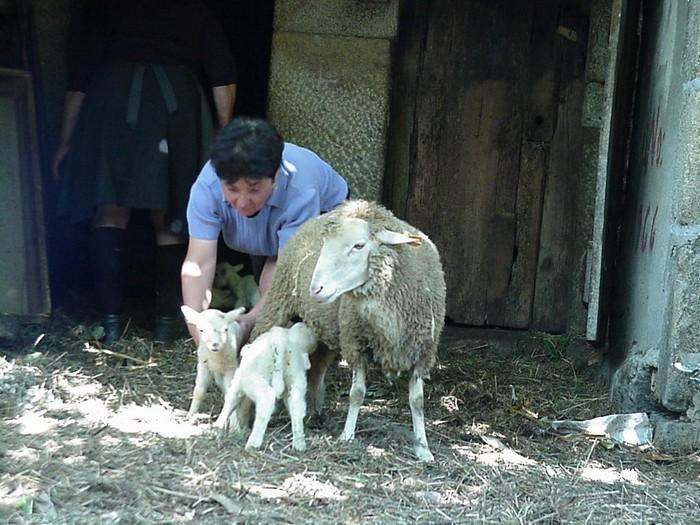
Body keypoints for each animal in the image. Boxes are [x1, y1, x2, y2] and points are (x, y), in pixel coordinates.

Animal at [215, 322, 318, 452]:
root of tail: (281, 342)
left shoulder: (238, 380)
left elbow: (230, 400)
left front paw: (218, 424)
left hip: (255, 379)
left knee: (266, 401)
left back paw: (253, 443)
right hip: (296, 377)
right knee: (297, 405)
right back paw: (299, 443)